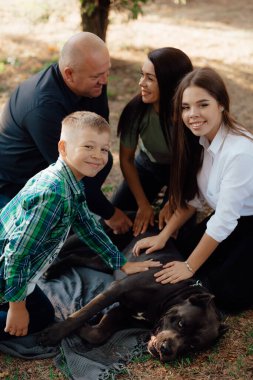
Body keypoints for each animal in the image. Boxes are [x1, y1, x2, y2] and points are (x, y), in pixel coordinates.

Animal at [40, 233, 227, 360]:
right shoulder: (118, 289)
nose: (167, 349)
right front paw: (55, 333)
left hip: (109, 261)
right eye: (181, 324)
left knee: (77, 257)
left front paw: (81, 326)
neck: (173, 295)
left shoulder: (124, 312)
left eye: (192, 346)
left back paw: (53, 270)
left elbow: (98, 334)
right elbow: (86, 311)